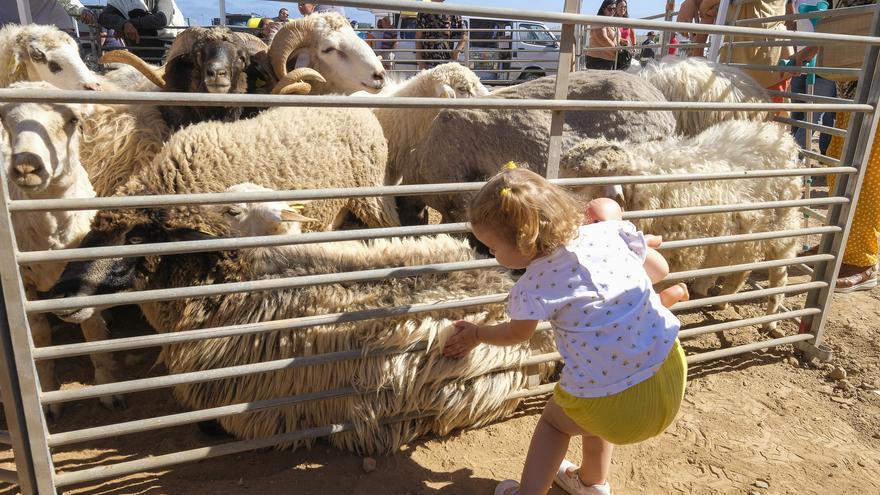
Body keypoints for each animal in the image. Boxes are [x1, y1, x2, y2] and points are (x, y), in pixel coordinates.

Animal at [0, 83, 124, 416]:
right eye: (6, 121)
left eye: (72, 120)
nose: (26, 166)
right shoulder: (25, 285)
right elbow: (39, 336)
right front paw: (48, 395)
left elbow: (92, 329)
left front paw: (108, 389)